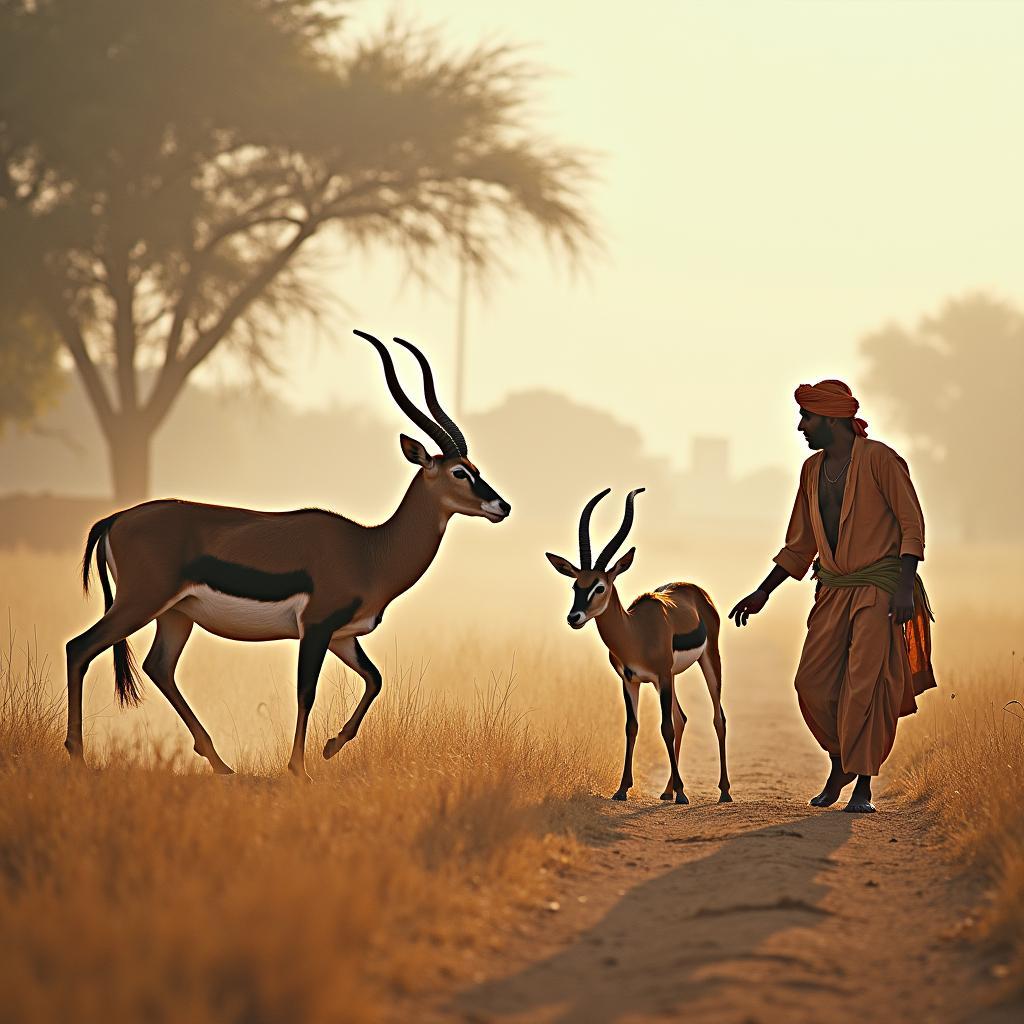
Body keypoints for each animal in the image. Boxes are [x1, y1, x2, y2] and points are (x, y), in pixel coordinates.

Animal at [65, 329, 512, 774]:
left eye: (475, 468)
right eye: (459, 472)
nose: (501, 506)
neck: (369, 550)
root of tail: (116, 518)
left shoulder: (342, 636)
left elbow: (375, 679)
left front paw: (331, 746)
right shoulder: (315, 627)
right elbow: (306, 692)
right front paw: (299, 768)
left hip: (176, 615)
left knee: (158, 667)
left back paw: (221, 764)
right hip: (140, 603)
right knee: (80, 647)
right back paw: (78, 754)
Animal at [544, 491, 729, 802]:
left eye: (600, 586)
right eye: (575, 586)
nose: (574, 617)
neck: (636, 633)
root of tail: (694, 590)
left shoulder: (662, 676)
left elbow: (665, 728)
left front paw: (683, 794)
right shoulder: (630, 680)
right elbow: (632, 727)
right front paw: (621, 789)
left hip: (707, 661)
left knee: (717, 718)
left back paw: (723, 791)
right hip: (665, 680)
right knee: (682, 718)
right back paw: (667, 791)